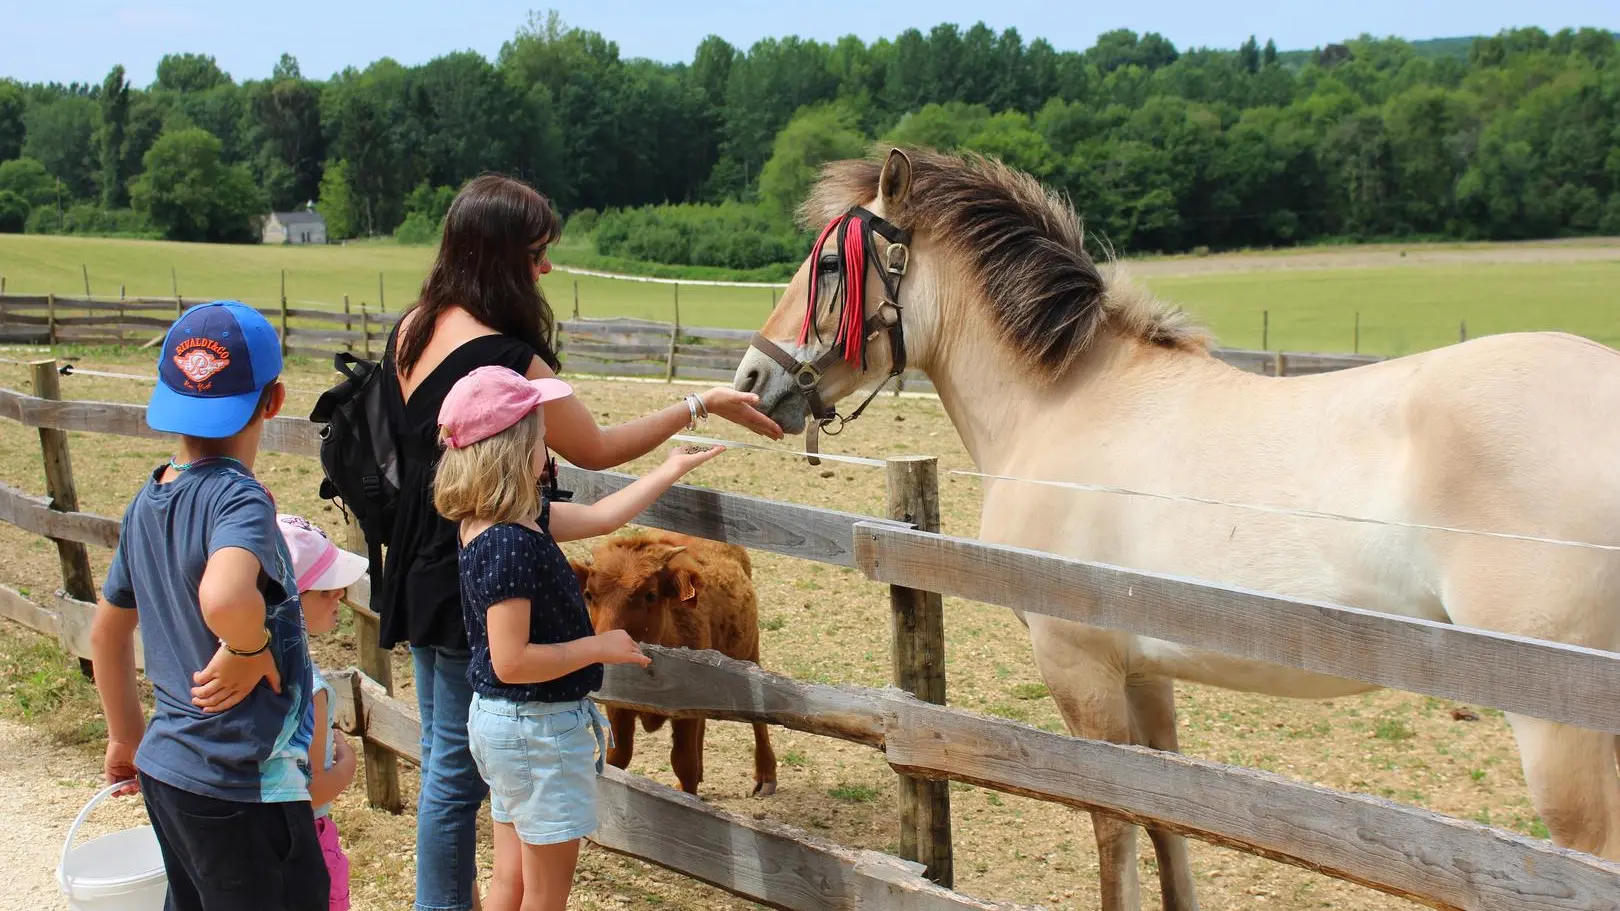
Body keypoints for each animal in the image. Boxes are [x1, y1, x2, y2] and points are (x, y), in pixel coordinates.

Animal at [570, 525, 777, 794]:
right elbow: (617, 757)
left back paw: (766, 774)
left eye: (650, 594)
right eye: (588, 593)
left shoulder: (686, 710)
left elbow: (683, 762)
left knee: (758, 719)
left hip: (750, 654)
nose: (605, 644)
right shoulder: (618, 707)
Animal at [729, 145, 1620, 901]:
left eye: (830, 265)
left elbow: (1113, 825)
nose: (750, 378)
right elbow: (1168, 817)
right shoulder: (1145, 671)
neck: (1064, 401)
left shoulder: (1078, 666)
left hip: (1560, 740)